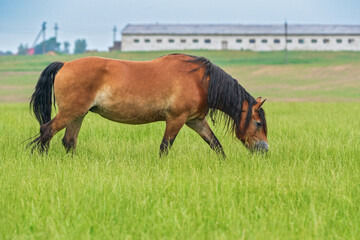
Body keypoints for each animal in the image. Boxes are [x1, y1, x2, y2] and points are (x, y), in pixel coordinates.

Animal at [28, 53, 268, 157]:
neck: (201, 81)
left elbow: (215, 144)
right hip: (70, 112)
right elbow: (165, 147)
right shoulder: (176, 119)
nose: (265, 150)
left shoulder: (195, 121)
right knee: (47, 130)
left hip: (78, 114)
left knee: (69, 141)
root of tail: (65, 64)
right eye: (257, 123)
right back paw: (41, 157)